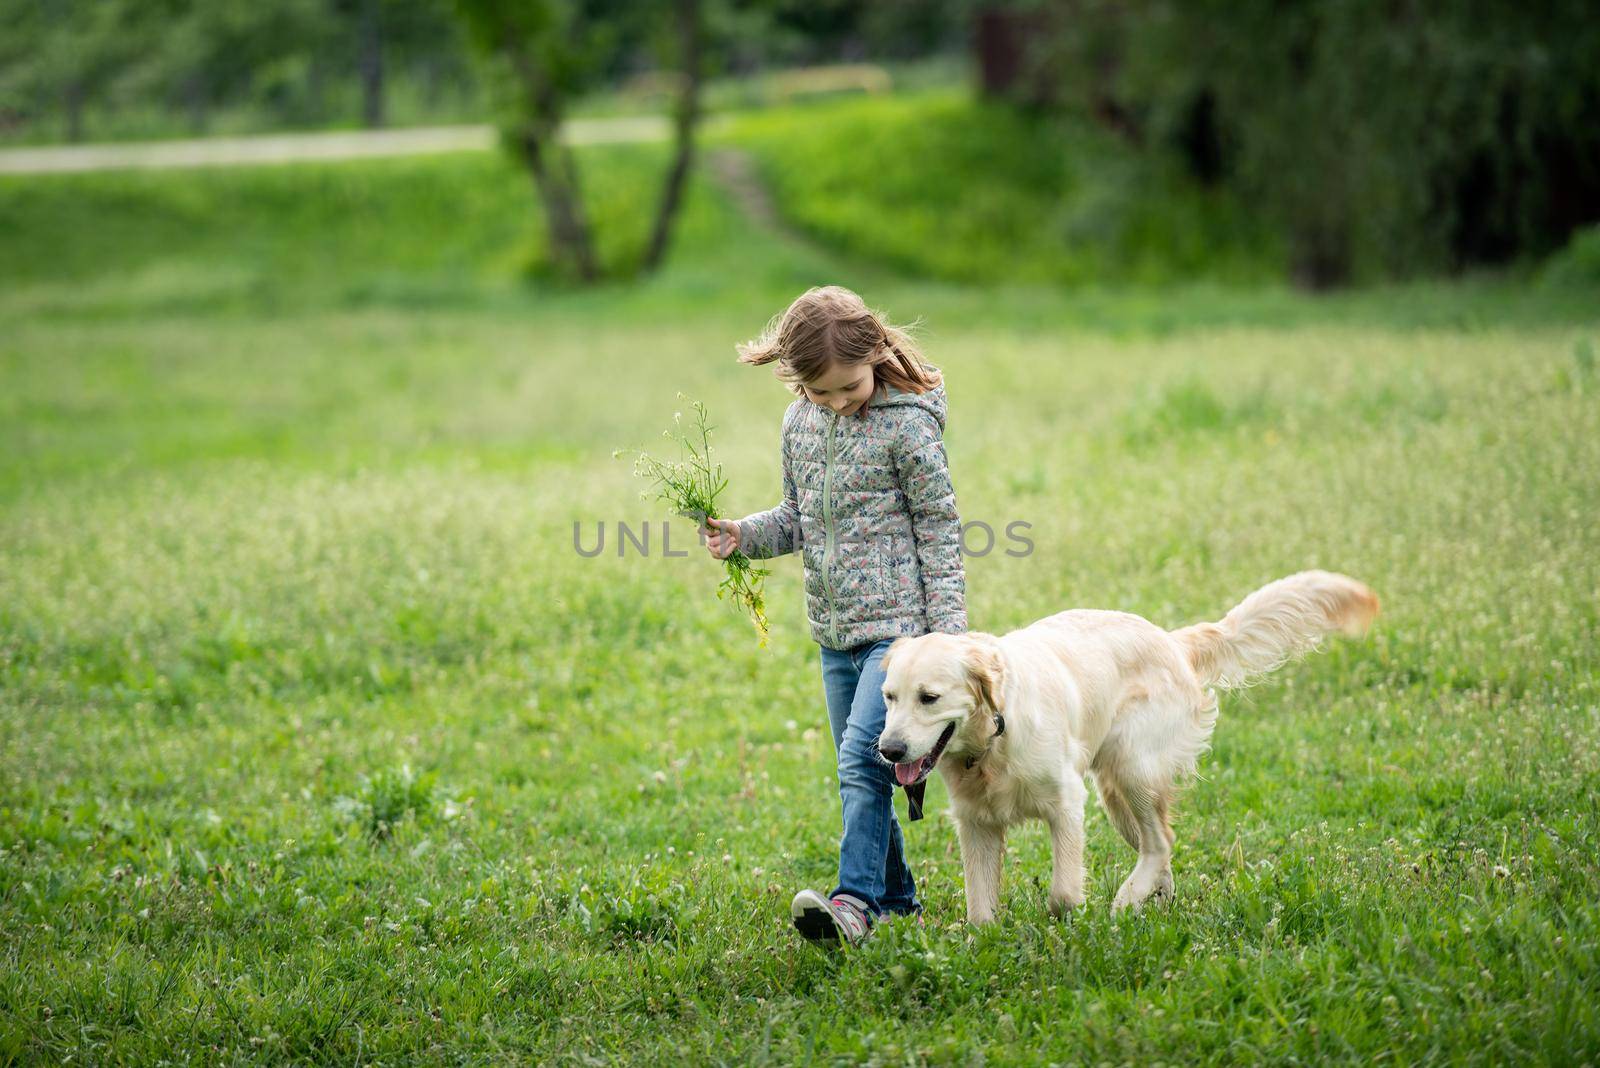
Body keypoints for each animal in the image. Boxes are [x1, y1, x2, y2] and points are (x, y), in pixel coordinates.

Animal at [876, 572, 1376, 920]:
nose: (889, 750)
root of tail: (1171, 641)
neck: (995, 736)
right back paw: (1153, 901)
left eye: (929, 697)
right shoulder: (976, 823)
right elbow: (980, 912)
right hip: (1115, 791)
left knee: (1160, 842)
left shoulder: (1066, 803)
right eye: (889, 697)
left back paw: (1127, 902)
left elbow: (1062, 893)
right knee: (1161, 848)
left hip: (1133, 769)